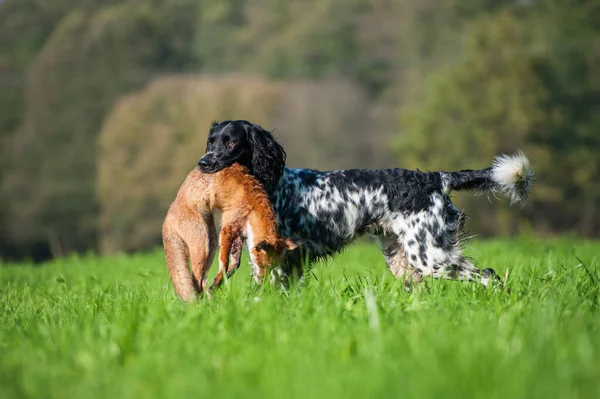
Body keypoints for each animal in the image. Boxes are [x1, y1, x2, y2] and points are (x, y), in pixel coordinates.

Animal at [162, 164, 300, 302]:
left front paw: (218, 282)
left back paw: (208, 301)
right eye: (261, 265)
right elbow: (224, 263)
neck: (252, 207)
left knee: (202, 281)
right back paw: (199, 303)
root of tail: (167, 220)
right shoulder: (227, 230)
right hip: (203, 246)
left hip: (211, 245)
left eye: (271, 267)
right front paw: (219, 280)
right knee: (195, 279)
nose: (261, 283)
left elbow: (235, 265)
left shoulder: (240, 235)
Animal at [199, 119, 532, 288]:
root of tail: (435, 178)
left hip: (430, 256)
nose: (203, 163)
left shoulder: (277, 258)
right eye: (211, 141)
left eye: (231, 141)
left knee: (488, 275)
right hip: (403, 258)